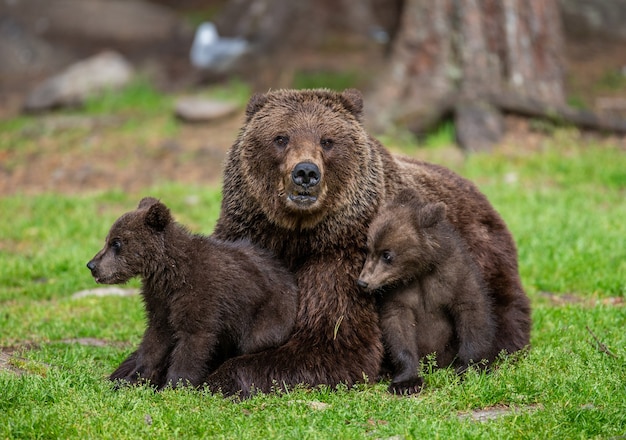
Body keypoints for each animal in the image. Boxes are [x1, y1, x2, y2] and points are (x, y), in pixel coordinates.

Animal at [206, 87, 528, 398]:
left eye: (327, 140)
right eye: (280, 138)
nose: (306, 172)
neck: (295, 235)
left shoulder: (343, 254)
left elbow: (333, 341)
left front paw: (220, 377)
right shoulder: (247, 241)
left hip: (482, 259)